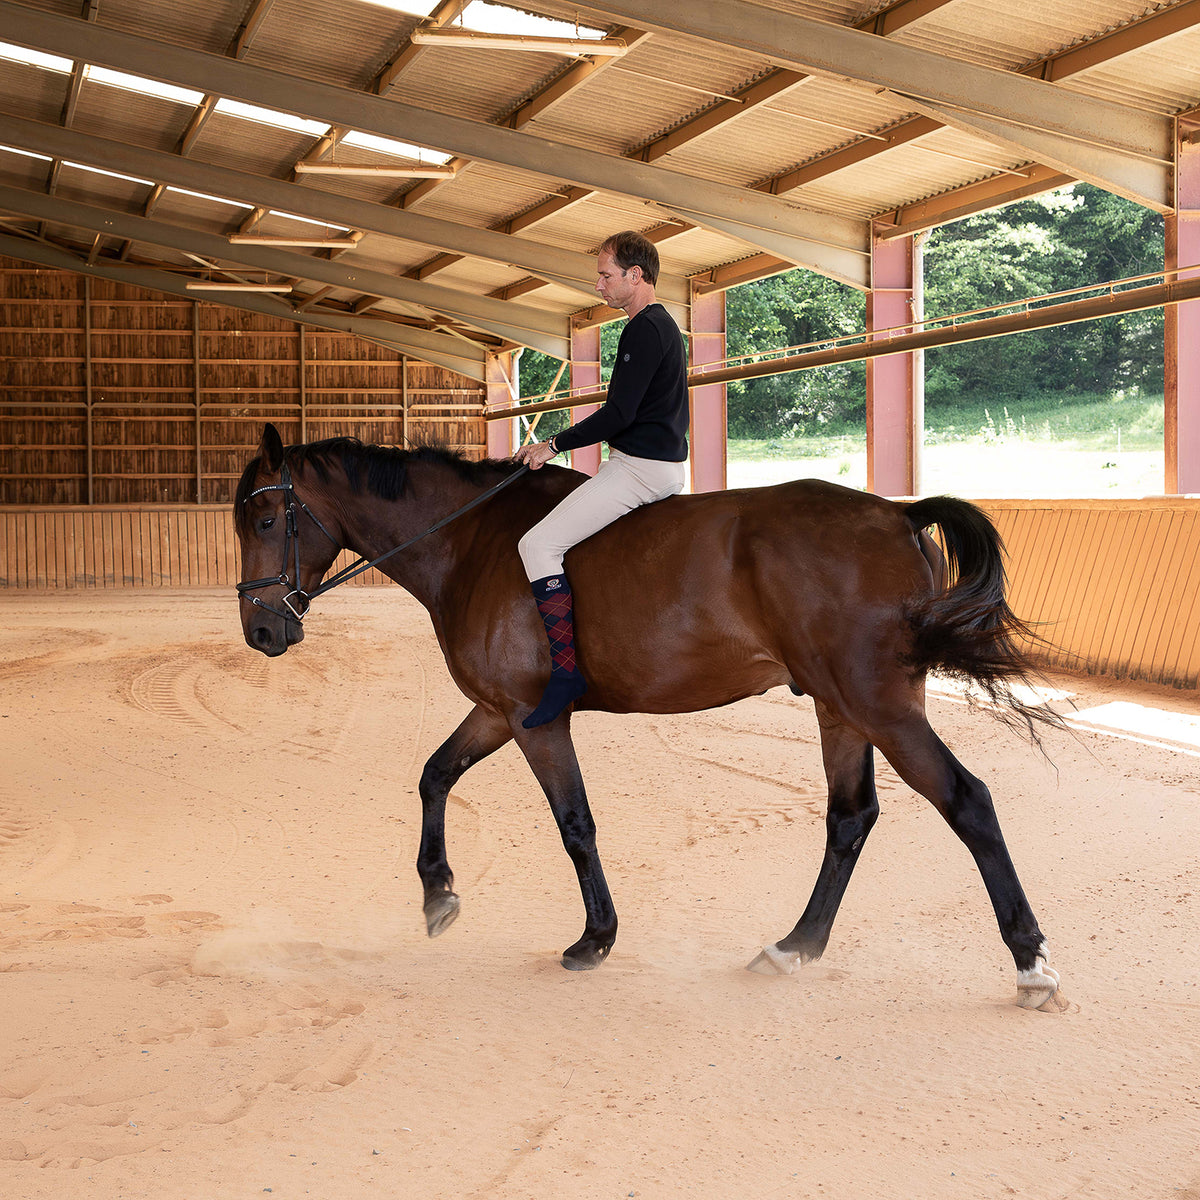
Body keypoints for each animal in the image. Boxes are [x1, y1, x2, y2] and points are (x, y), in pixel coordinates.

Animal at [234, 422, 1066, 1011]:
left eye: (268, 518)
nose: (262, 633)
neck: (469, 541)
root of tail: (895, 516)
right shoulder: (497, 710)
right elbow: (435, 775)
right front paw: (438, 894)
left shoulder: (533, 719)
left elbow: (575, 824)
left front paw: (595, 939)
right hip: (839, 708)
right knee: (850, 817)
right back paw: (794, 946)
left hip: (878, 704)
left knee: (966, 801)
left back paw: (1032, 965)